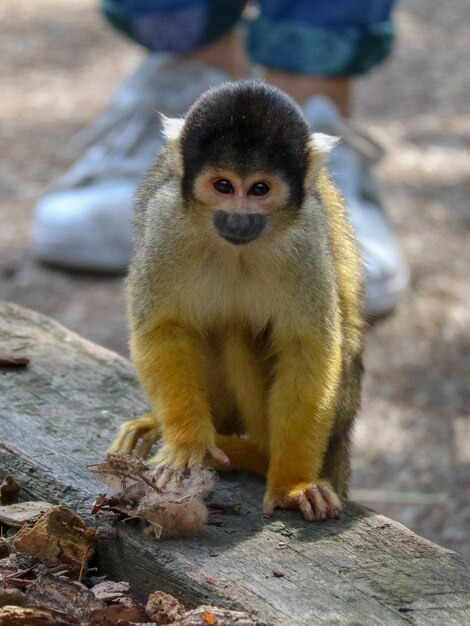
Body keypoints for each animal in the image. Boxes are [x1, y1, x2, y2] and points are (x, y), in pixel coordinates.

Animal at [109, 80, 364, 520]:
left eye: (259, 189)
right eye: (223, 186)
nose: (238, 218)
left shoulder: (305, 238)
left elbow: (308, 347)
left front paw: (293, 483)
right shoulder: (165, 221)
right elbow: (163, 329)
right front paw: (186, 446)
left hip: (340, 408)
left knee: (241, 330)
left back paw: (257, 453)